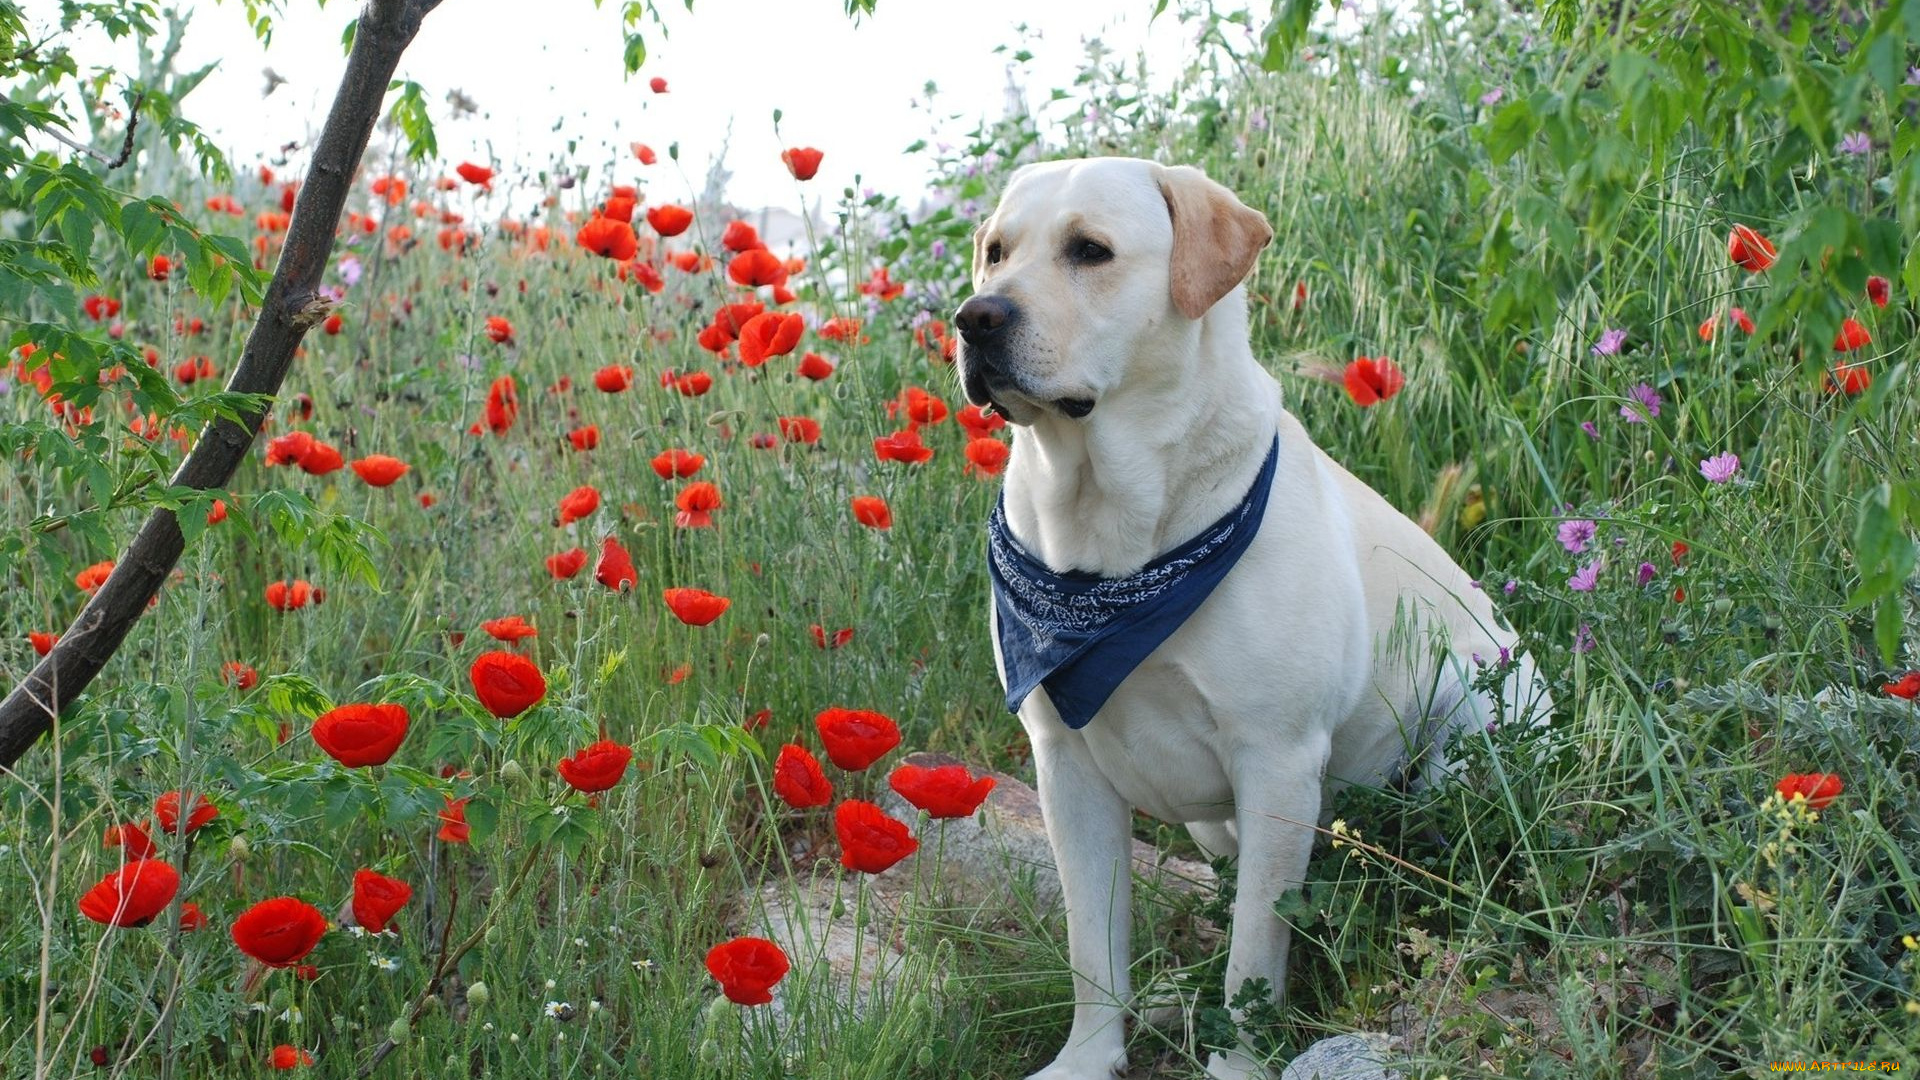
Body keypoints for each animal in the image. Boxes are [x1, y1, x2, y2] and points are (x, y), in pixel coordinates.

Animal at [952, 157, 1551, 1076]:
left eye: (1090, 250)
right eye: (996, 253)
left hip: (1468, 747)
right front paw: (1091, 1055)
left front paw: (1237, 1061)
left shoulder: (1277, 762)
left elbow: (1253, 960)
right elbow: (1095, 944)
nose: (975, 318)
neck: (1113, 548)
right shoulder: (1065, 764)